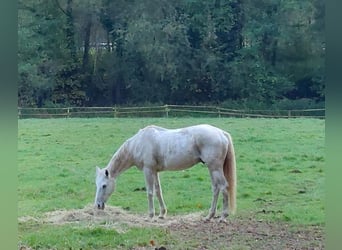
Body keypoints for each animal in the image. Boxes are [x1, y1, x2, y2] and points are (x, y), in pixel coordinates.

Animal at [95, 124, 236, 221]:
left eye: (104, 185)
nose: (98, 205)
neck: (137, 144)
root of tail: (221, 133)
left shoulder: (148, 170)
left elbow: (150, 192)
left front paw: (150, 215)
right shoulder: (155, 171)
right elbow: (158, 191)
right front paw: (162, 214)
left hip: (215, 168)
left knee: (224, 187)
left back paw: (223, 216)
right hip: (212, 169)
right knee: (216, 189)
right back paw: (209, 216)